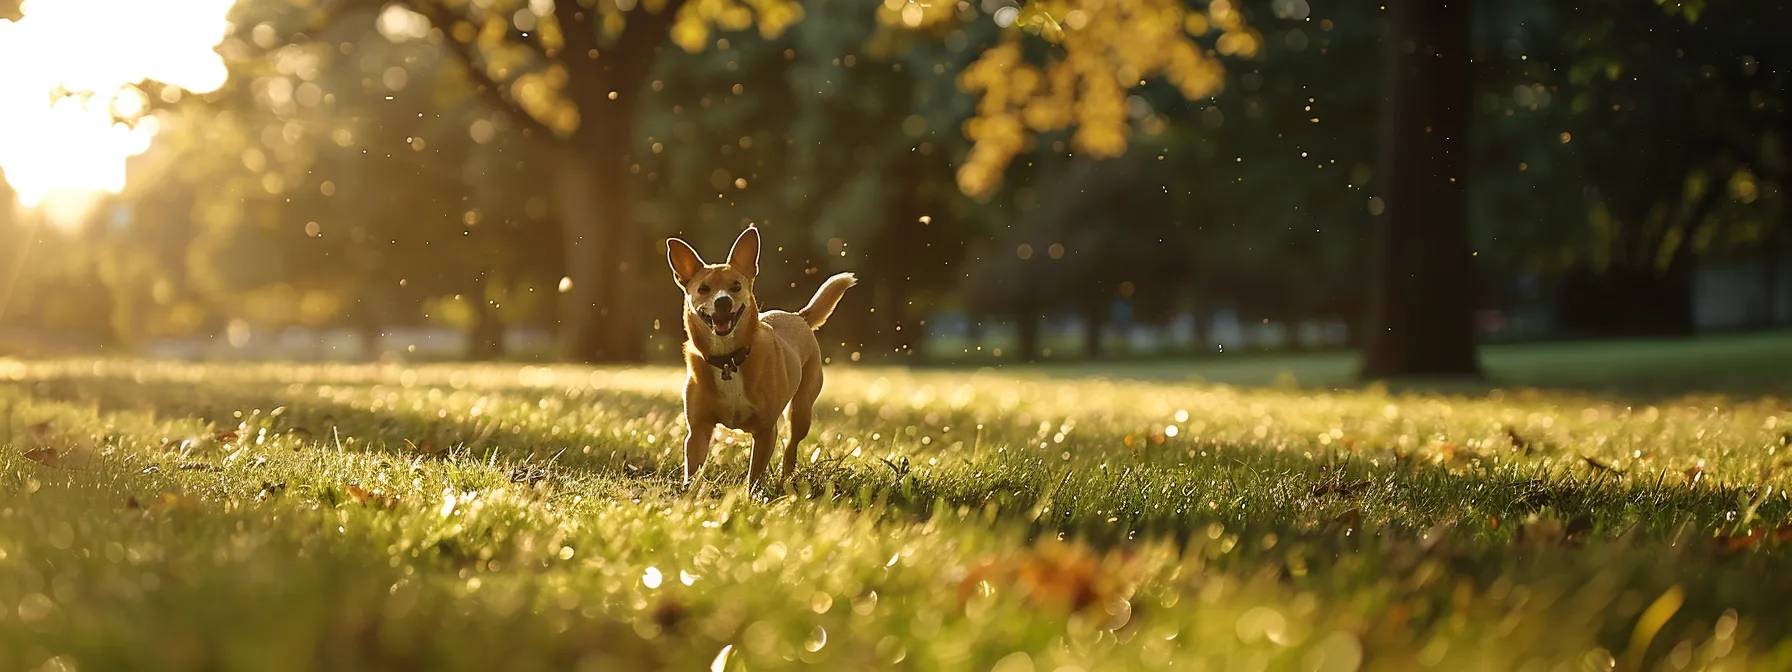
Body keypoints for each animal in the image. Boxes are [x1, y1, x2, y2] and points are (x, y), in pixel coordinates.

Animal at [670, 226, 856, 491]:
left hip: (800, 413)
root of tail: (799, 316)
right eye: (703, 289)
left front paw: (751, 498)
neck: (728, 360)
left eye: (736, 286)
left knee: (791, 448)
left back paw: (786, 482)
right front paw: (688, 497)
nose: (723, 301)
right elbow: (693, 472)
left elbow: (755, 476)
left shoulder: (766, 430)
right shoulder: (698, 430)